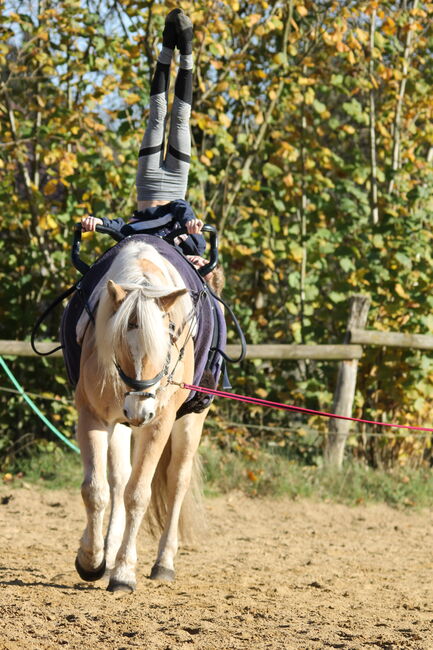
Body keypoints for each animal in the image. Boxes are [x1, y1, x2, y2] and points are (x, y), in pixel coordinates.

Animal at [73, 238, 209, 592]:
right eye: (117, 341)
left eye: (170, 336)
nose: (140, 409)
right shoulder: (93, 416)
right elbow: (95, 490)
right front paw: (91, 560)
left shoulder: (159, 424)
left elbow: (138, 495)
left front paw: (123, 573)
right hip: (120, 424)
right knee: (118, 480)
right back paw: (107, 552)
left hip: (189, 423)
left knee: (176, 482)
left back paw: (164, 562)